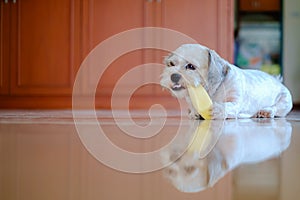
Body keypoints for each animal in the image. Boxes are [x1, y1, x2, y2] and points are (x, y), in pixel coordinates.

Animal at [161, 43, 292, 119]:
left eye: (191, 66)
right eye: (171, 64)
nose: (173, 76)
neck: (212, 90)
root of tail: (277, 80)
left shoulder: (235, 101)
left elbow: (228, 106)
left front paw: (217, 109)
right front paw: (194, 112)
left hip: (285, 102)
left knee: (276, 109)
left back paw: (266, 111)